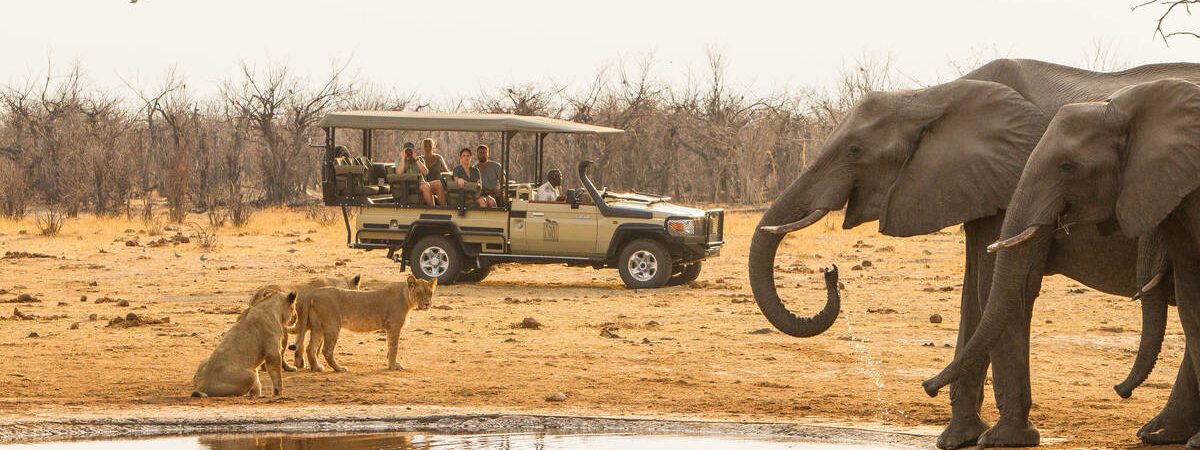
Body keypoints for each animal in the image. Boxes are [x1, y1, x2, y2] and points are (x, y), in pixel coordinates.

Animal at [289, 275, 434, 372]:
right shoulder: (394, 326)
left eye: (430, 293)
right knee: (326, 350)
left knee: (311, 348)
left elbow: (389, 347)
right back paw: (339, 368)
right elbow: (394, 347)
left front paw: (393, 364)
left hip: (317, 327)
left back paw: (317, 367)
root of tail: (313, 293)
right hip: (332, 325)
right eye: (419, 293)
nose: (427, 304)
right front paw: (393, 366)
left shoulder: (390, 328)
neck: (407, 297)